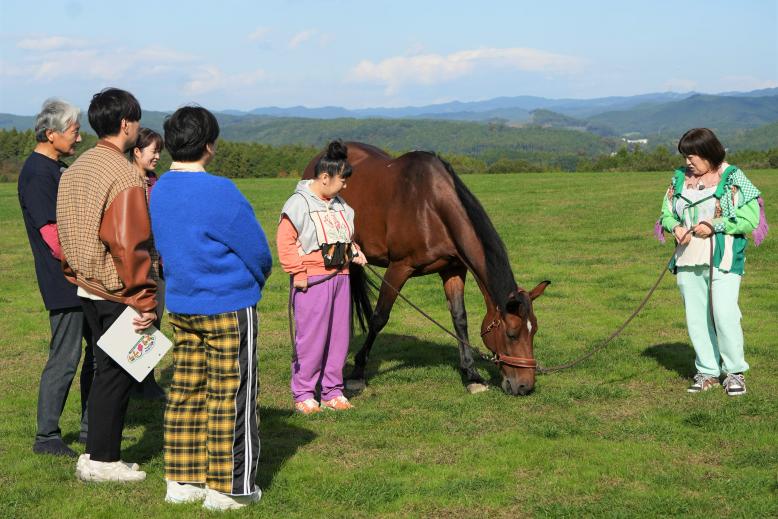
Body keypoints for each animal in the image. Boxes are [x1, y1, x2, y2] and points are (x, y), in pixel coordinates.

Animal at [302, 142, 550, 395]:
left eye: (534, 331)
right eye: (512, 334)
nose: (525, 386)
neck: (430, 206)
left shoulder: (453, 270)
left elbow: (459, 318)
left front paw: (471, 374)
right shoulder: (399, 267)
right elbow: (379, 317)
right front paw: (358, 372)